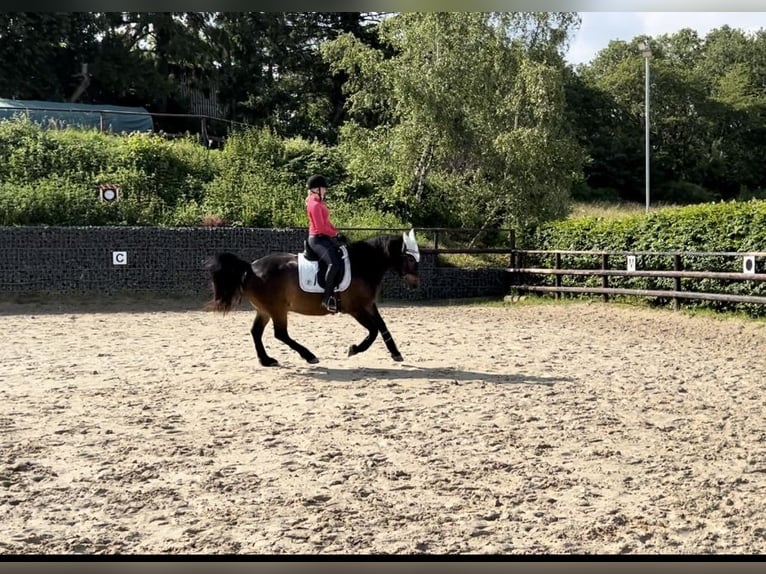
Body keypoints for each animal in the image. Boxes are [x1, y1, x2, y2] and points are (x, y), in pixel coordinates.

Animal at [207, 231, 424, 368]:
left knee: (256, 332)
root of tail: (250, 267)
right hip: (277, 309)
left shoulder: (369, 305)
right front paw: (354, 349)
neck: (362, 265)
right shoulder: (355, 308)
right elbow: (373, 330)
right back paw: (309, 356)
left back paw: (267, 360)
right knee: (280, 334)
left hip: (265, 310)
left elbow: (382, 326)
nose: (416, 283)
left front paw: (396, 353)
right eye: (410, 258)